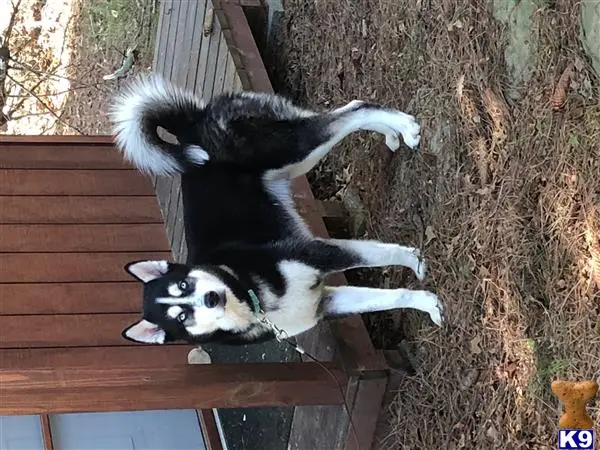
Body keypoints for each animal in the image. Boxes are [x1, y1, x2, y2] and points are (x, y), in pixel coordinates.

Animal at [110, 75, 442, 346]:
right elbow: (391, 297)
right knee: (348, 112)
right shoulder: (324, 303)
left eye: (183, 284)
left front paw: (415, 261)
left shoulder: (318, 252)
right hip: (298, 159)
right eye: (181, 317)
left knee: (355, 111)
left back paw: (405, 128)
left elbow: (382, 254)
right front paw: (427, 302)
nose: (211, 298)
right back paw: (392, 134)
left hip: (296, 147)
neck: (250, 299)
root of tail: (190, 127)